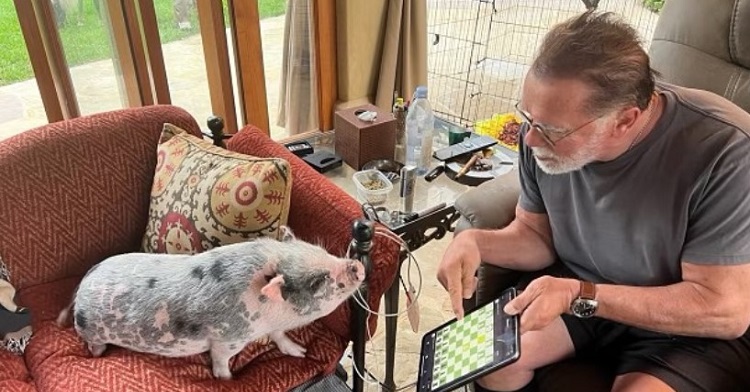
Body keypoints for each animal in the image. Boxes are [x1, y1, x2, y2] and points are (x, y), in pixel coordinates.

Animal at [58, 227, 364, 380]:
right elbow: (220, 360)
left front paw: (300, 352)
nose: (358, 266)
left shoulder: (272, 327)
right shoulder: (229, 338)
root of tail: (81, 287)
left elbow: (280, 337)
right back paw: (97, 355)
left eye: (322, 251)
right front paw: (227, 380)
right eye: (317, 282)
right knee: (94, 346)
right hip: (92, 333)